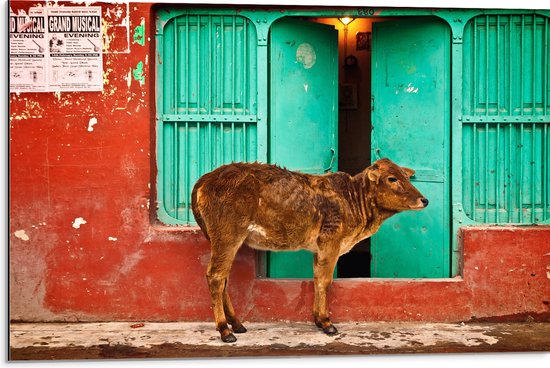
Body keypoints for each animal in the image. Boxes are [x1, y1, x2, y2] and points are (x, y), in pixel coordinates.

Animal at [192, 157, 430, 342]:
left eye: (406, 176)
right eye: (392, 178)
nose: (424, 199)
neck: (354, 201)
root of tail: (206, 178)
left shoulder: (320, 248)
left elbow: (317, 278)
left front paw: (317, 319)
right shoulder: (331, 242)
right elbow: (325, 280)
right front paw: (326, 323)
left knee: (224, 278)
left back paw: (237, 324)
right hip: (228, 235)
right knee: (215, 276)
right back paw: (225, 331)